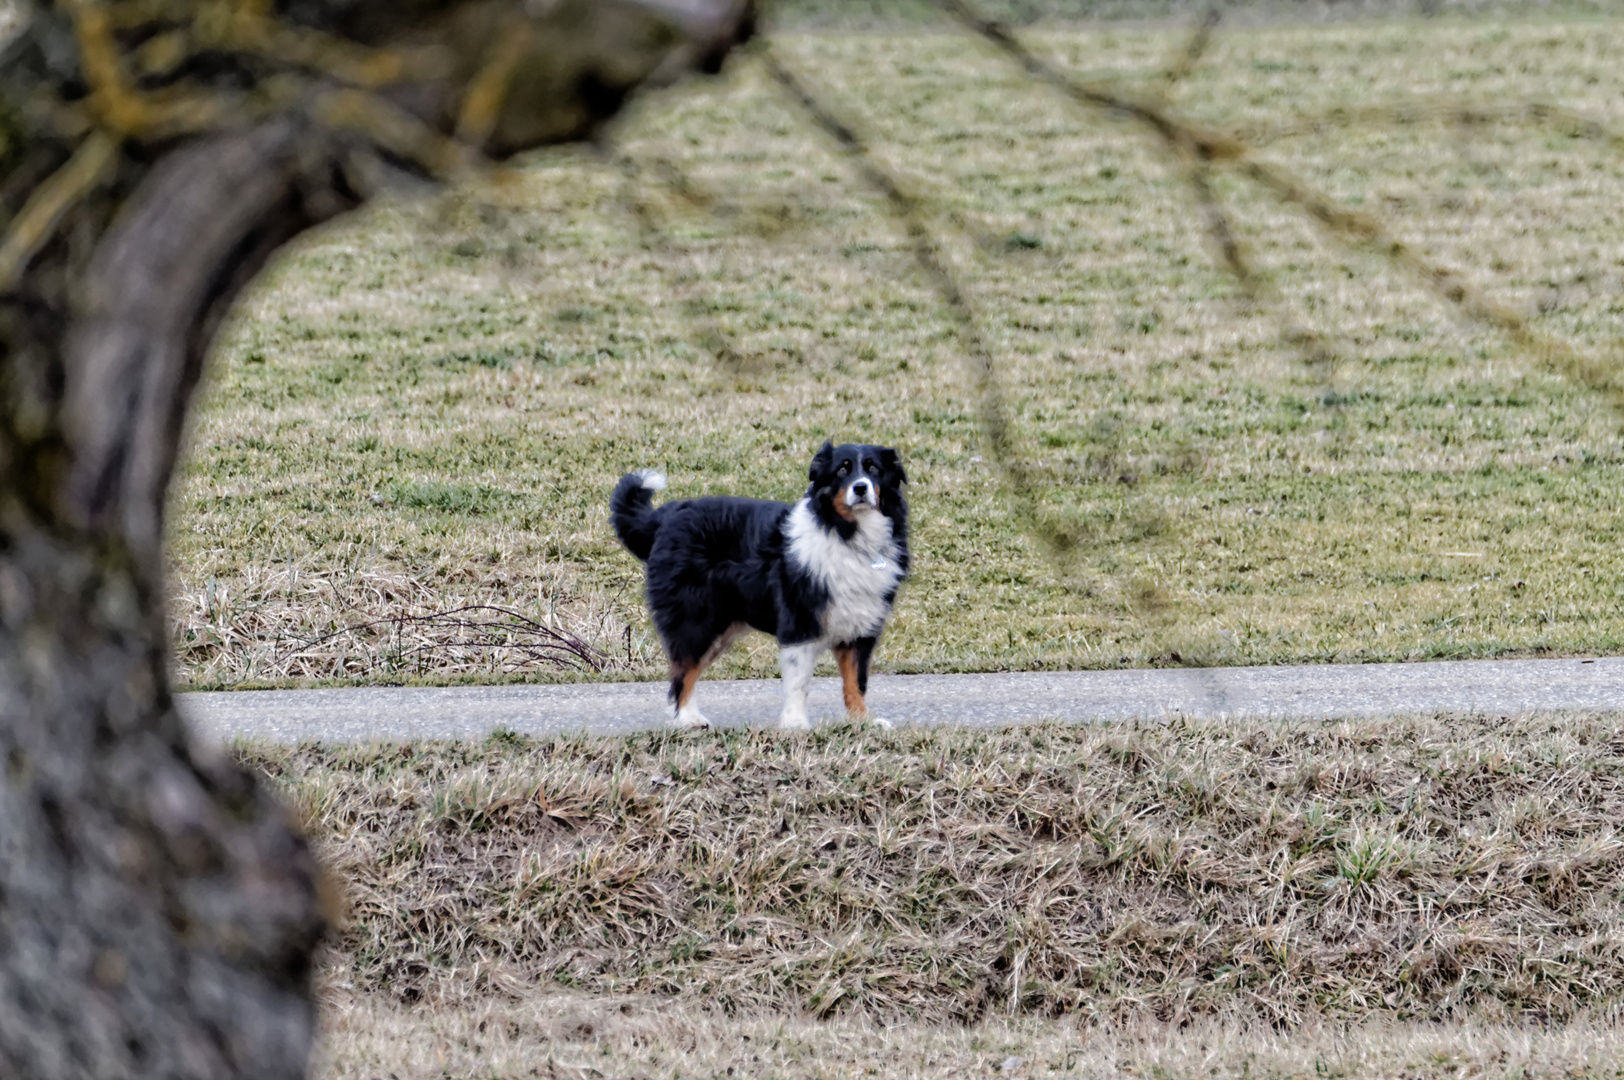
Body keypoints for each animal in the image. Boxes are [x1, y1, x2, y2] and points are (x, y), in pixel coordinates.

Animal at [610, 441, 909, 734]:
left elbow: (855, 682)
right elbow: (799, 682)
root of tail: (666, 516)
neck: (845, 535)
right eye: (842, 470)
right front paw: (796, 725)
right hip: (696, 620)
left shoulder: (860, 629)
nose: (860, 488)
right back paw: (688, 719)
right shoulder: (798, 625)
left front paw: (863, 722)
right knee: (682, 673)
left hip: (721, 628)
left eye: (873, 469)